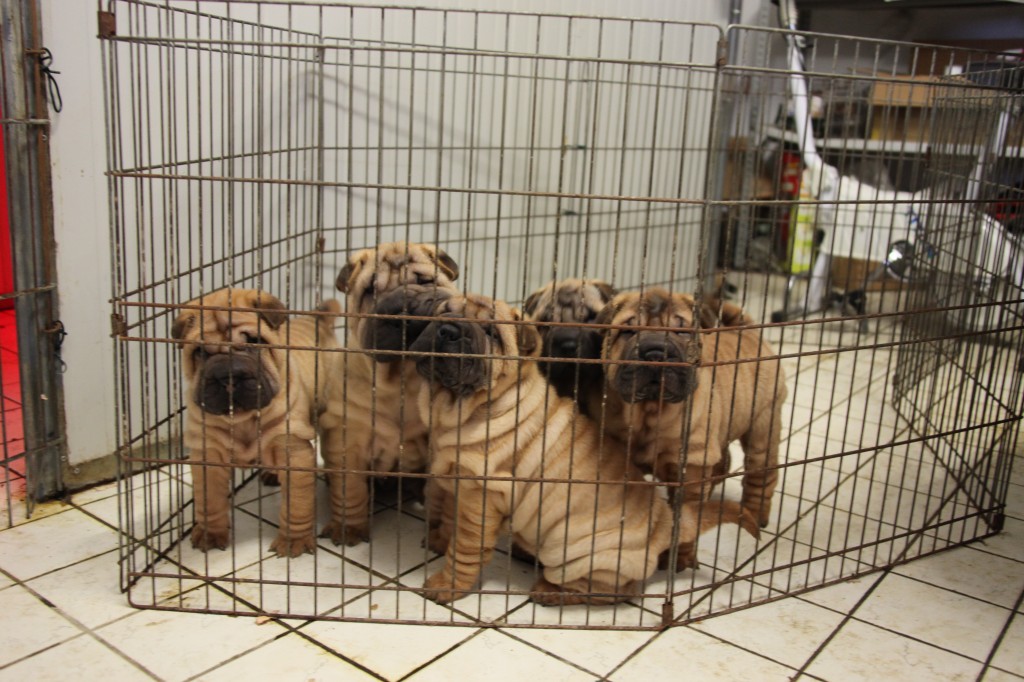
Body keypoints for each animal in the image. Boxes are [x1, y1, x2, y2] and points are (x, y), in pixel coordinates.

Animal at [172, 284, 339, 557]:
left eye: (253, 341)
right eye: (200, 352)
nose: (228, 375)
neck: (244, 419)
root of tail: (317, 321)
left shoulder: (294, 453)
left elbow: (297, 505)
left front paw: (293, 541)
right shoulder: (208, 457)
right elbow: (210, 502)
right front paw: (210, 533)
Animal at [319, 241, 460, 544]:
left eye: (425, 281)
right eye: (370, 291)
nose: (402, 308)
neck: (402, 379)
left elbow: (444, 494)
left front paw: (442, 537)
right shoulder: (348, 440)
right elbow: (350, 491)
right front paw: (348, 528)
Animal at [403, 290, 757, 602]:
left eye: (491, 333)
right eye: (443, 313)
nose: (449, 330)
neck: (456, 406)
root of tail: (666, 523)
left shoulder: (481, 498)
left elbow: (464, 549)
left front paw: (444, 585)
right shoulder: (454, 483)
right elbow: (447, 518)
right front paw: (437, 540)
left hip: (574, 554)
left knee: (614, 590)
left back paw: (549, 591)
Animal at [593, 286, 782, 524]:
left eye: (681, 332)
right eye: (628, 332)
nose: (655, 353)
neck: (650, 411)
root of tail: (749, 332)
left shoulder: (691, 466)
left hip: (763, 428)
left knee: (761, 477)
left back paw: (755, 517)